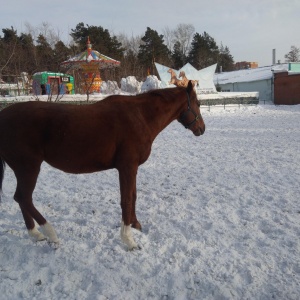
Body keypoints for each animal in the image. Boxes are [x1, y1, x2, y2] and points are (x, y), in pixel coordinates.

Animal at [0, 81, 204, 250]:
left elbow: (133, 196)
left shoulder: (132, 168)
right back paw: (51, 234)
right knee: (24, 198)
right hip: (29, 167)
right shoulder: (127, 167)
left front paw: (135, 225)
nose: (202, 128)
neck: (140, 117)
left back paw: (35, 234)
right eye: (198, 104)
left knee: (20, 198)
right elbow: (126, 200)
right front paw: (128, 240)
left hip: (22, 170)